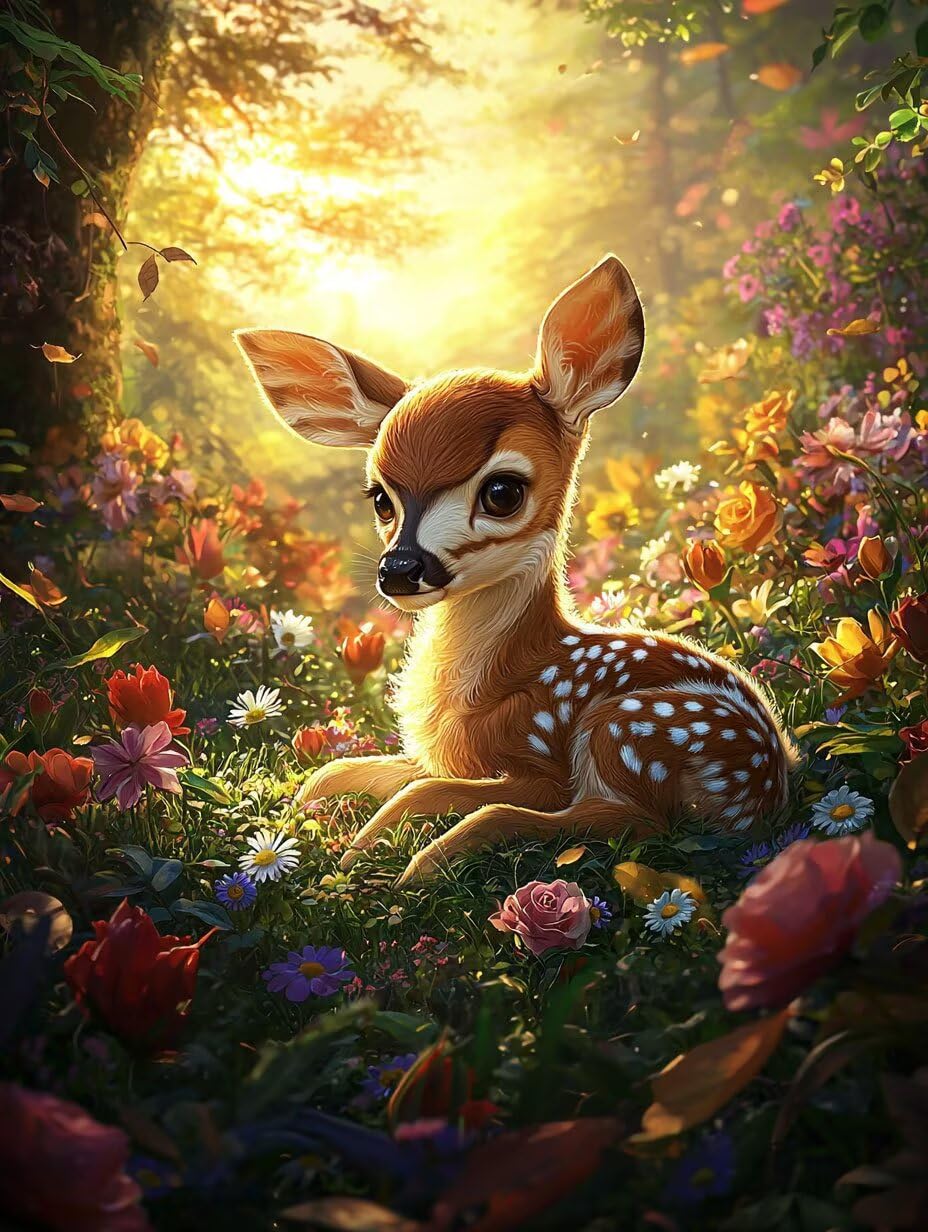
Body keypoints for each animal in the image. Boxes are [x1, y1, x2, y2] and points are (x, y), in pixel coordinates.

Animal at [235, 255, 796, 886]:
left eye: (502, 491)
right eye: (380, 499)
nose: (400, 570)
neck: (493, 684)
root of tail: (775, 784)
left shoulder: (538, 761)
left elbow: (426, 791)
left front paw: (362, 853)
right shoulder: (442, 756)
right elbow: (350, 771)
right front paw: (299, 811)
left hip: (630, 727)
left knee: (626, 822)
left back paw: (427, 862)